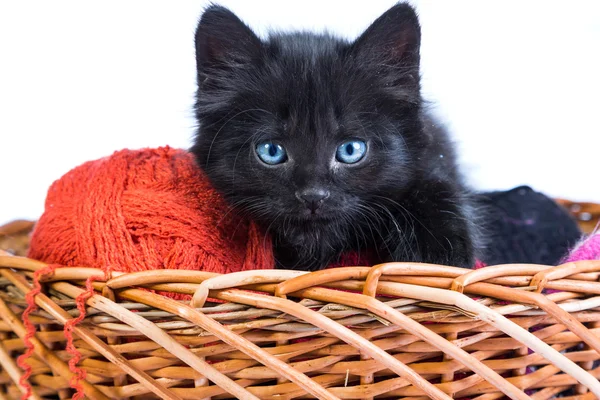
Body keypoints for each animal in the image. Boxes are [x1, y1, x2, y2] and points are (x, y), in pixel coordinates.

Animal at [190, 1, 480, 270]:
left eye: (350, 150)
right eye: (271, 151)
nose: (313, 196)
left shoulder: (433, 154)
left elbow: (432, 184)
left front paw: (437, 256)